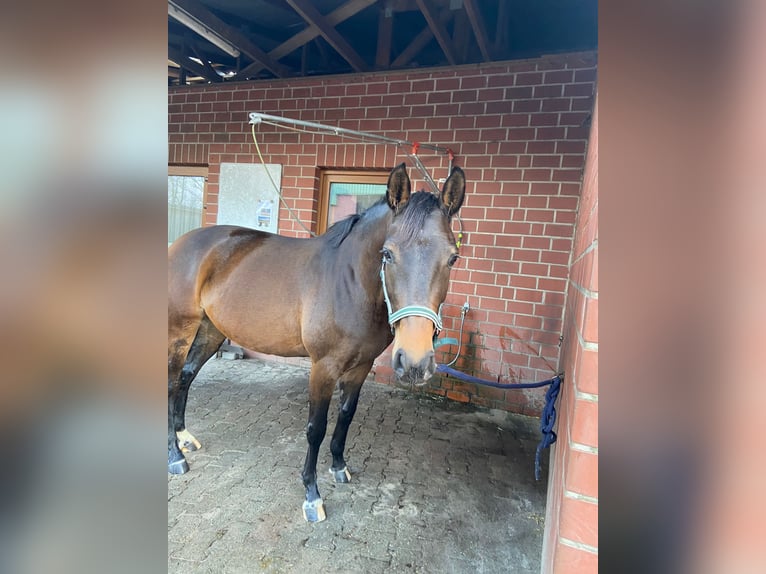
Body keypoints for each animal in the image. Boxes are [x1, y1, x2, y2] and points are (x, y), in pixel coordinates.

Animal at [168, 163, 466, 522]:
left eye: (452, 258)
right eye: (387, 254)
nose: (415, 363)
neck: (350, 282)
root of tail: (180, 244)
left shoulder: (360, 366)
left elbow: (346, 416)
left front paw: (339, 467)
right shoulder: (323, 367)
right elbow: (316, 427)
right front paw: (312, 494)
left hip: (210, 331)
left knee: (185, 378)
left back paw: (184, 437)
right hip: (179, 332)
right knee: (171, 383)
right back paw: (175, 457)